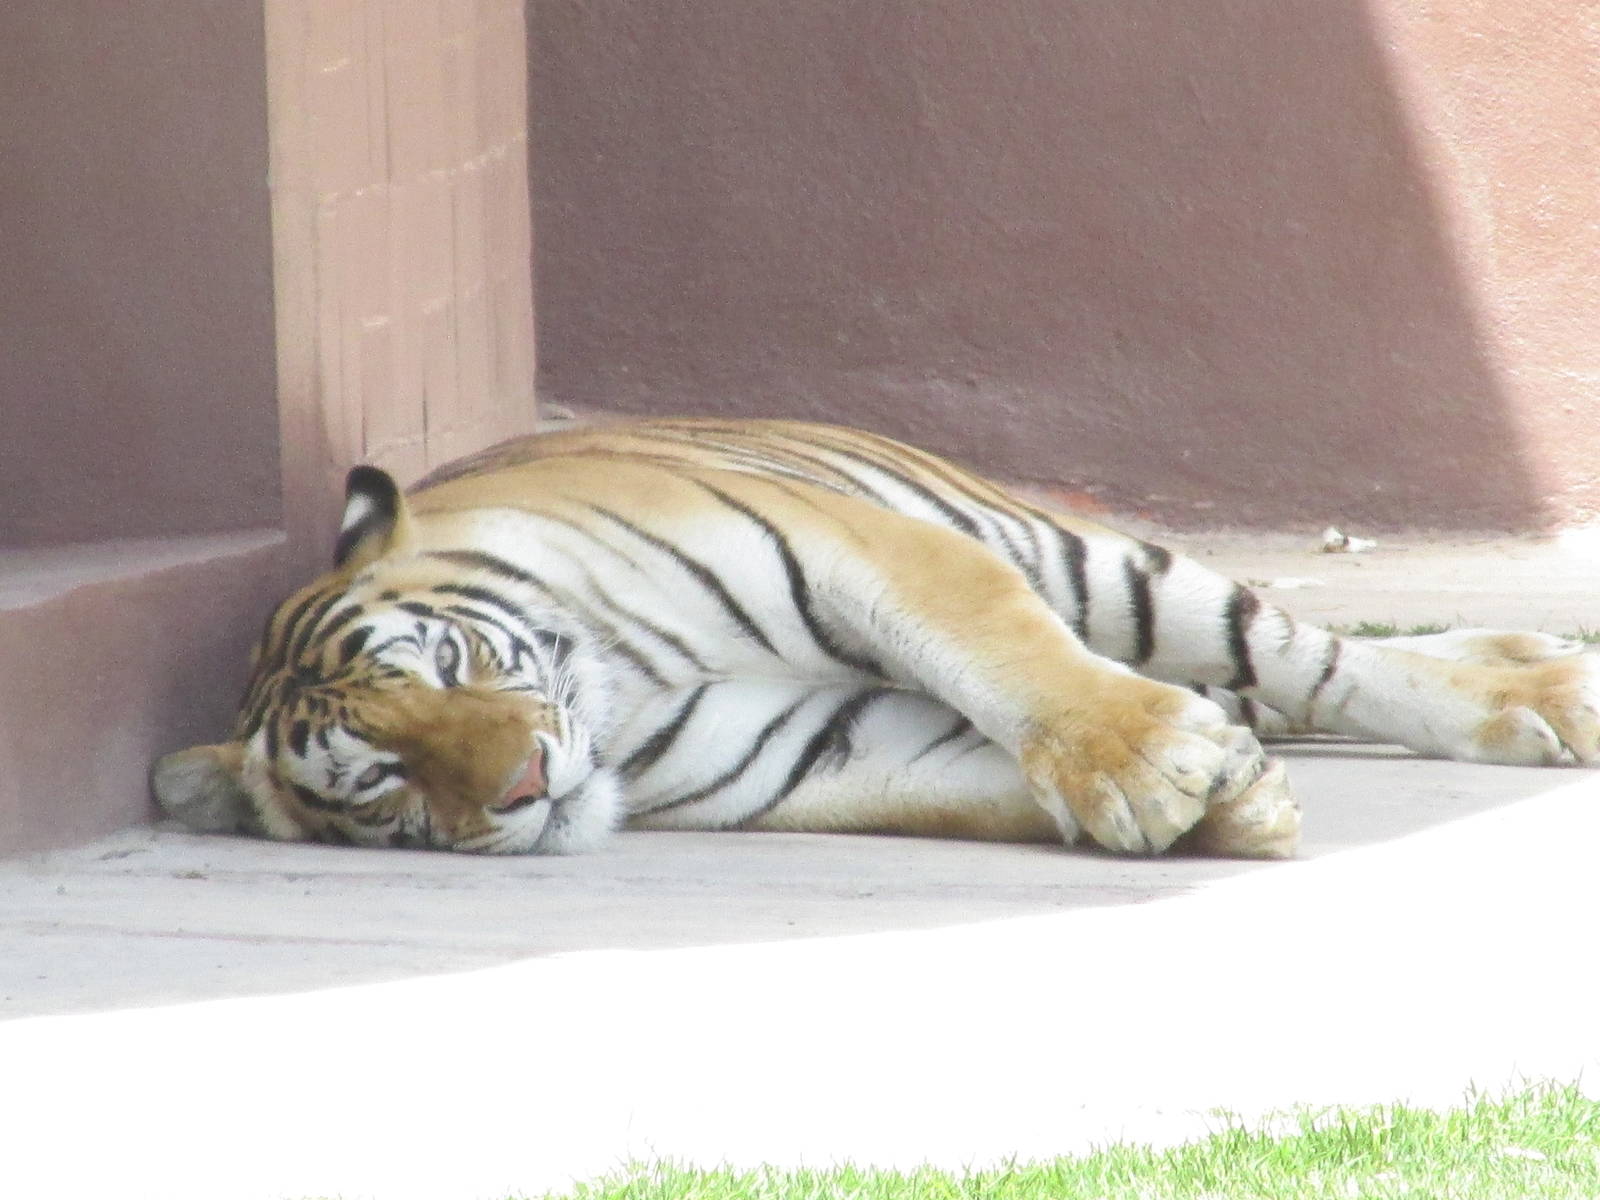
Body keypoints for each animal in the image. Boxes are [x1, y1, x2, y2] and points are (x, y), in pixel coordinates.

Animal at [152, 417, 1600, 858]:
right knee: (1284, 680)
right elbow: (975, 783)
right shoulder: (820, 751)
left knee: (1320, 657)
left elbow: (1016, 665)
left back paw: (1547, 697)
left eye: (452, 667)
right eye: (383, 783)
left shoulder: (863, 552)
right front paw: (1229, 799)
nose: (522, 789)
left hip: (1108, 568)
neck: (621, 701)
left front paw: (1143, 769)